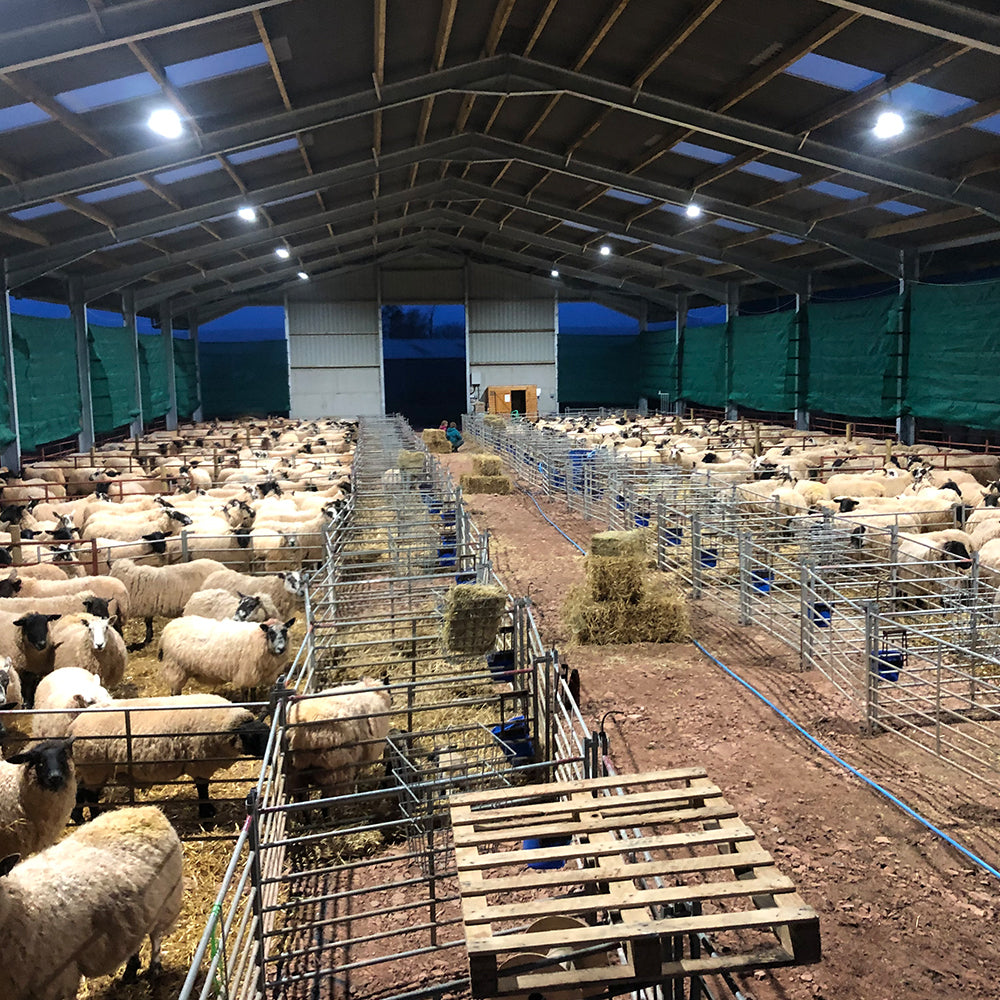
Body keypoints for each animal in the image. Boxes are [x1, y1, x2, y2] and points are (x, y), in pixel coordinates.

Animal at [0, 804, 183, 995]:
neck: (18, 903)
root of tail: (149, 810)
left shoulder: (59, 981)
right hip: (140, 911)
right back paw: (130, 972)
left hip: (166, 902)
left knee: (156, 935)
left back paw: (155, 968)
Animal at [68, 695, 270, 820]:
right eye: (255, 738)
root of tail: (73, 727)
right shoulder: (200, 762)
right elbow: (202, 788)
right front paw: (207, 812)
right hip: (94, 767)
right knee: (90, 795)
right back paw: (94, 816)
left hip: (90, 769)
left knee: (81, 790)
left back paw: (77, 817)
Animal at [157, 616, 296, 696]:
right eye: (271, 633)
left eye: (285, 631)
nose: (281, 648)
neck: (259, 638)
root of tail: (165, 631)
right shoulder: (245, 673)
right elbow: (245, 692)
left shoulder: (255, 674)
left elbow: (253, 691)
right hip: (175, 667)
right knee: (175, 691)